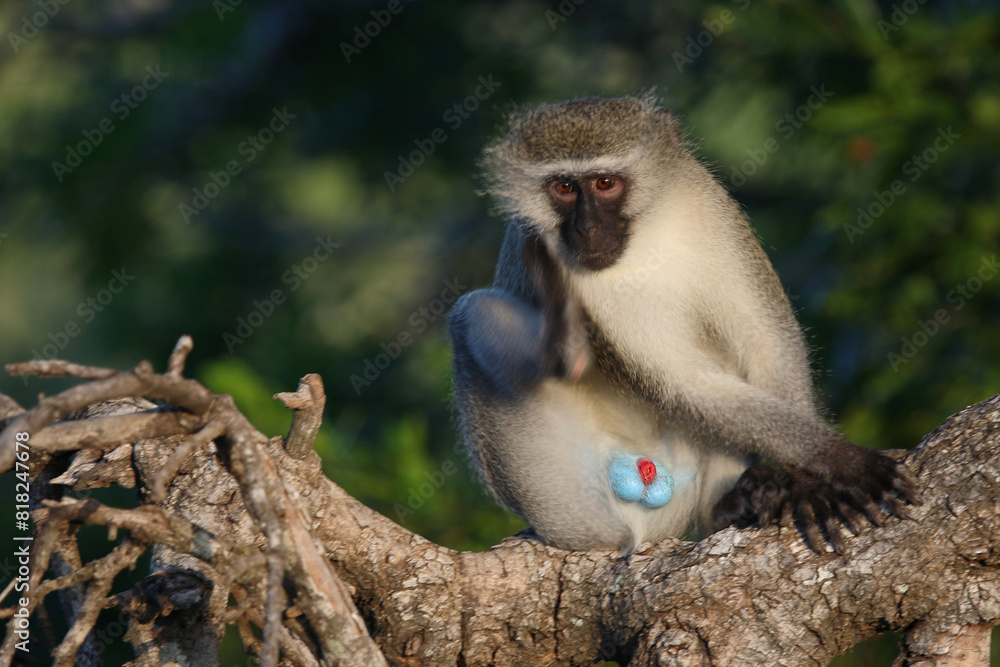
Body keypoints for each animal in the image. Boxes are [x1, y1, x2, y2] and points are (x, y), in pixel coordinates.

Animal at [447, 93, 917, 553]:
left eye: (605, 183)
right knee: (471, 314)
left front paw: (808, 480)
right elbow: (683, 382)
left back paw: (728, 506)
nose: (587, 229)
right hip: (565, 495)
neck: (645, 238)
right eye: (563, 187)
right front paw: (838, 460)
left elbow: (765, 342)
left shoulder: (708, 206)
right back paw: (563, 350)